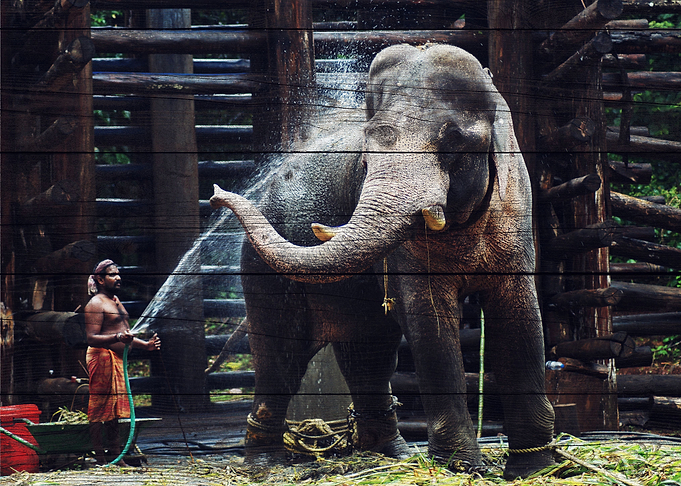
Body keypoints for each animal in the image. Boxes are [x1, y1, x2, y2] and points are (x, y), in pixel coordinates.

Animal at [210, 43, 555, 479]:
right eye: (364, 155)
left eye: (454, 141)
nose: (216, 195)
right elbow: (430, 320)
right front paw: (463, 468)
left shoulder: (515, 208)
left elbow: (520, 316)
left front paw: (537, 469)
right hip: (261, 267)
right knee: (281, 355)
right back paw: (264, 464)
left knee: (368, 349)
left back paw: (389, 455)